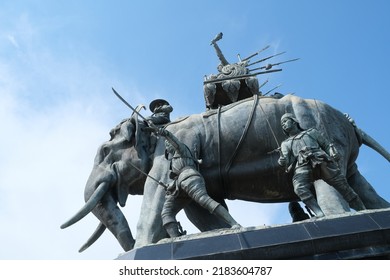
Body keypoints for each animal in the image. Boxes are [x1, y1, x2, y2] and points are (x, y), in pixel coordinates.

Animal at [61, 94, 390, 252]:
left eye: (105, 152)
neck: (153, 128)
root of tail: (351, 123)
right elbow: (198, 212)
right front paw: (221, 230)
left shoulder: (172, 150)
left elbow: (157, 199)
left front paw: (141, 248)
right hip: (342, 147)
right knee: (361, 185)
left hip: (321, 130)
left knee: (329, 185)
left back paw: (332, 218)